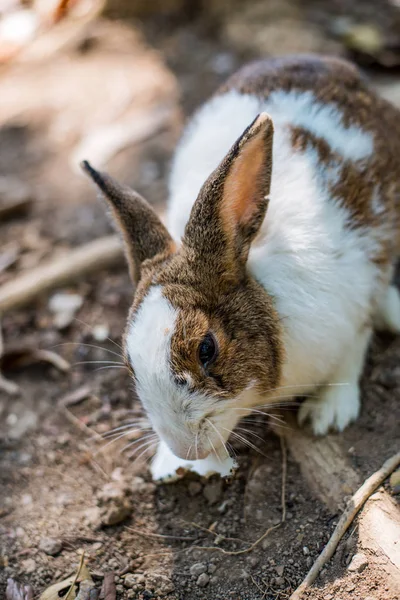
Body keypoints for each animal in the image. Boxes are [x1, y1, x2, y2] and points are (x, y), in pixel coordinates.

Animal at [81, 54, 400, 480]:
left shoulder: (359, 287)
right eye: (129, 362)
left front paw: (328, 414)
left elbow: (353, 351)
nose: (185, 448)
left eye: (207, 349)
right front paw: (171, 465)